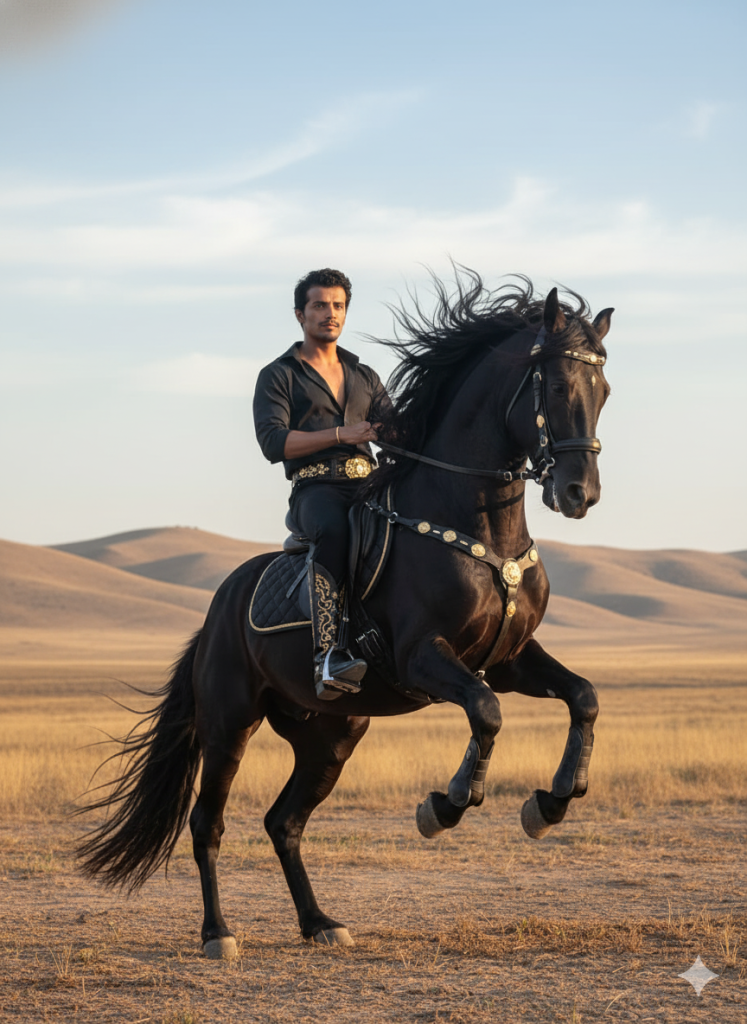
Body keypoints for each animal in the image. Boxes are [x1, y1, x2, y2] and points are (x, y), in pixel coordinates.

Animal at [76, 271, 613, 959]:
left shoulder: (509, 659)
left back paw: (319, 922)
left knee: (284, 822)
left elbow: (584, 697)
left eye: (604, 392)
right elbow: (487, 712)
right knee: (208, 822)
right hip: (228, 723)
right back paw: (218, 933)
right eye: (557, 385)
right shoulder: (423, 658)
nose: (579, 493)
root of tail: (218, 608)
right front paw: (445, 806)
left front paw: (551, 803)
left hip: (331, 733)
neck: (478, 524)